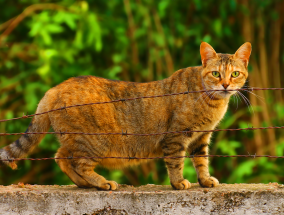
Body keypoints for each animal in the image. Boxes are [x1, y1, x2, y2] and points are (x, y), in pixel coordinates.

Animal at [0, 41, 251, 190]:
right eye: (216, 74)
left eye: (235, 74)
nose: (226, 85)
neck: (212, 103)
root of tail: (56, 88)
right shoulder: (176, 136)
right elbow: (176, 162)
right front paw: (178, 183)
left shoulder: (202, 137)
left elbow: (201, 161)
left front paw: (205, 180)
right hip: (94, 142)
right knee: (78, 162)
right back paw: (102, 183)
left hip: (74, 139)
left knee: (61, 157)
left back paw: (85, 184)